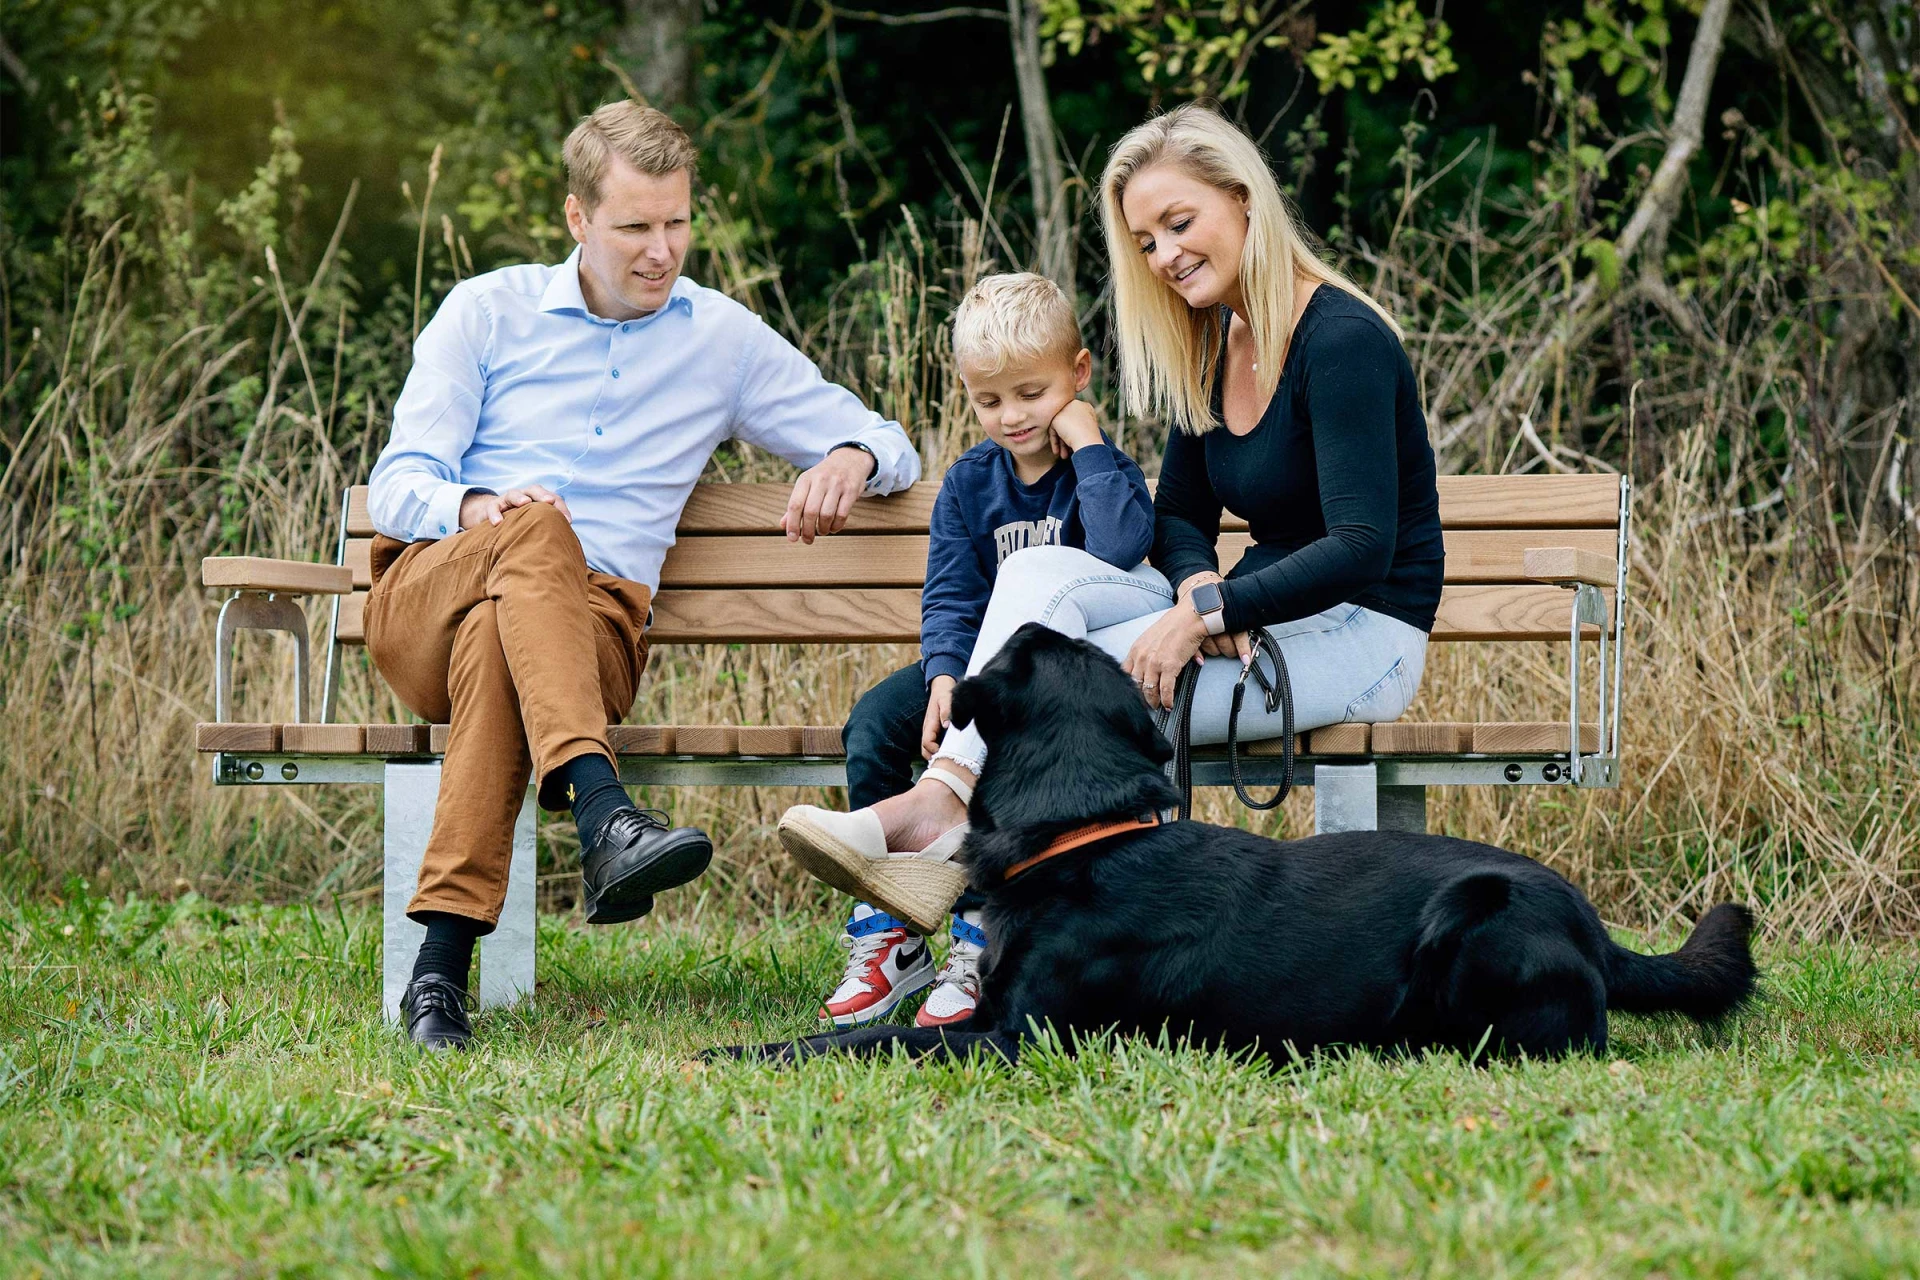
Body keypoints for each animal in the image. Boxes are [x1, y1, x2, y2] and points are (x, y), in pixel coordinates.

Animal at [725, 625, 1758, 1066]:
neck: (1085, 836)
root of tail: (1601, 937)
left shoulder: (1017, 1038)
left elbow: (873, 1041)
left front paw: (746, 1052)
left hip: (1476, 921)